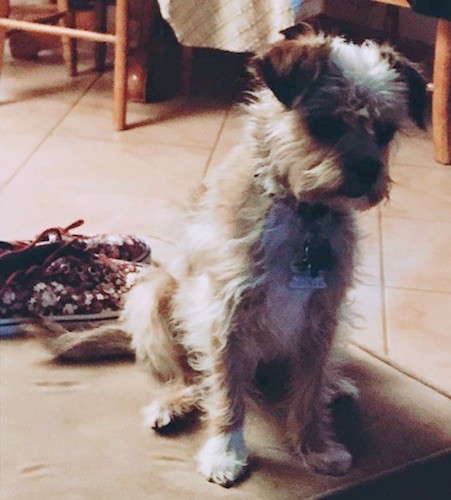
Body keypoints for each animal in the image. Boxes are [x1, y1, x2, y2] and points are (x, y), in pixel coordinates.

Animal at [38, 25, 428, 486]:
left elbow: (309, 391)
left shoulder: (323, 316)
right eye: (325, 124)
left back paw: (336, 385)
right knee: (188, 375)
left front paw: (315, 446)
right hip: (153, 296)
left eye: (385, 132)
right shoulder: (224, 314)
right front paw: (225, 451)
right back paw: (174, 403)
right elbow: (226, 392)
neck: (301, 211)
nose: (369, 171)